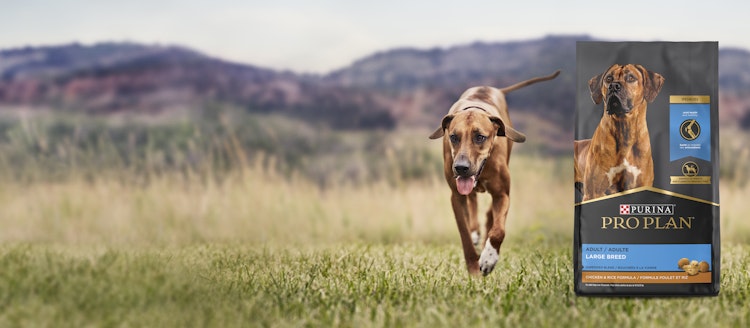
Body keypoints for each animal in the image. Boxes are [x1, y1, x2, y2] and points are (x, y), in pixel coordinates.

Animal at [432, 70, 560, 276]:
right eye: (453, 137)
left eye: (480, 137)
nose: (460, 167)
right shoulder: (456, 196)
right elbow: (464, 233)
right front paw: (473, 268)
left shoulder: (502, 194)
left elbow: (499, 230)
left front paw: (488, 257)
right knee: (473, 204)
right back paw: (476, 233)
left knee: (489, 213)